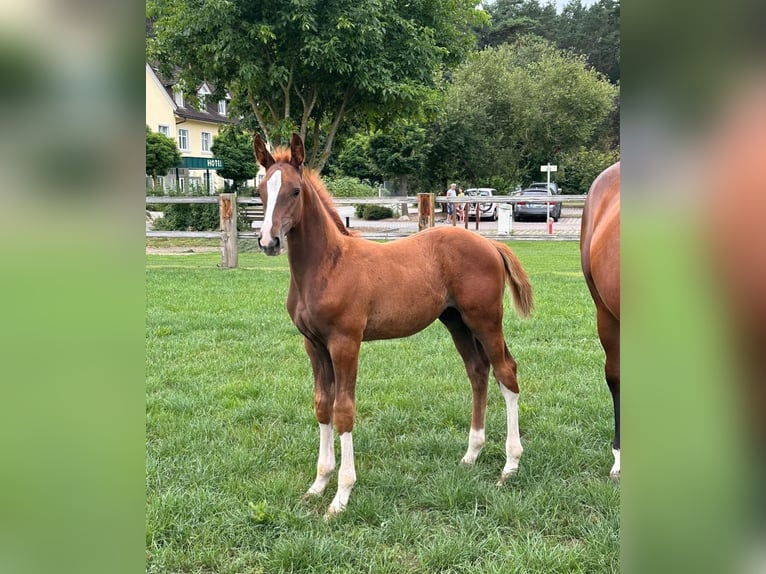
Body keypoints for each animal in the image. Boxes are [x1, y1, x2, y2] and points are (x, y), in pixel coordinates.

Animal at [253, 133, 534, 517]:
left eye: (295, 191)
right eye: (260, 191)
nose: (269, 241)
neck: (327, 265)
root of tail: (490, 244)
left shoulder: (345, 342)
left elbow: (343, 410)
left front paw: (341, 497)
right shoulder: (314, 345)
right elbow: (322, 406)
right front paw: (318, 485)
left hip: (486, 320)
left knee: (506, 372)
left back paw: (510, 465)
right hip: (456, 322)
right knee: (478, 371)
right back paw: (471, 454)